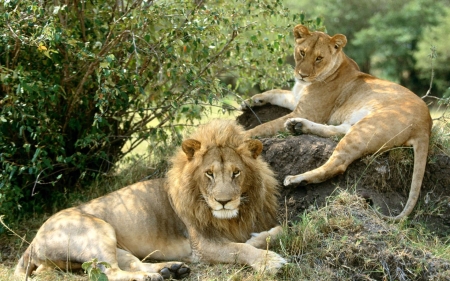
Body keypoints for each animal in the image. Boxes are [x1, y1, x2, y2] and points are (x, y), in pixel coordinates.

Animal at [16, 119, 288, 280]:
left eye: (236, 172)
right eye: (209, 173)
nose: (224, 202)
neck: (232, 217)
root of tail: (32, 242)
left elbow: (275, 232)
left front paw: (261, 238)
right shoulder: (201, 246)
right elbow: (239, 249)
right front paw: (269, 261)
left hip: (113, 245)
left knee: (129, 264)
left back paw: (170, 269)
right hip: (98, 230)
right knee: (111, 272)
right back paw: (151, 276)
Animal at [243, 24, 432, 221]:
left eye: (319, 58)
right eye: (302, 52)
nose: (302, 75)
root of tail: (426, 123)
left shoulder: (308, 111)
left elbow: (265, 126)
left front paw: (243, 134)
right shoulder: (297, 101)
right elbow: (276, 92)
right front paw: (251, 101)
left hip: (367, 128)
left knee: (337, 164)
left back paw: (296, 178)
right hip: (358, 125)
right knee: (338, 131)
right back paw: (297, 126)